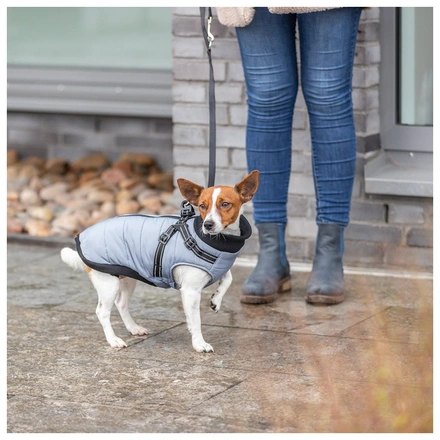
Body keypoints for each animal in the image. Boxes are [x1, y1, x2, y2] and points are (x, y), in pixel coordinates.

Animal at [58, 170, 258, 352]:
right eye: (202, 206)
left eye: (225, 204)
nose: (208, 225)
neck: (218, 242)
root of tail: (83, 236)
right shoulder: (190, 291)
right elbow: (196, 320)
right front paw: (199, 344)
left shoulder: (217, 269)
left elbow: (228, 278)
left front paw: (216, 300)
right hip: (108, 283)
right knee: (102, 312)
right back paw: (113, 340)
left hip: (127, 278)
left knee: (120, 304)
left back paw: (133, 328)